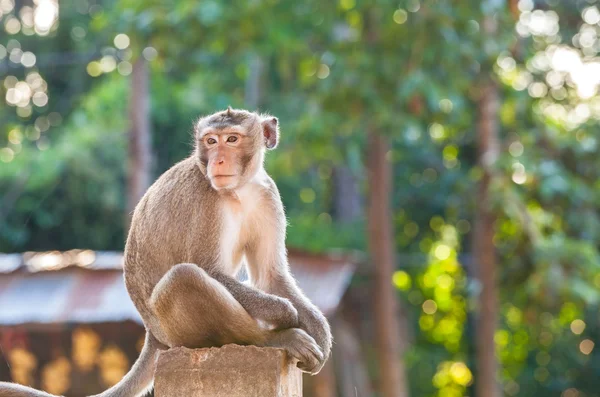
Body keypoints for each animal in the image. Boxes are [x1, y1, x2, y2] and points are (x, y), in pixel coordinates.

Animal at [0, 106, 332, 396]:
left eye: (232, 139)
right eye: (211, 141)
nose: (217, 162)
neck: (238, 189)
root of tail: (154, 334)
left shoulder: (267, 194)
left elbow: (270, 275)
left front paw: (318, 328)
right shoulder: (205, 198)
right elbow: (208, 270)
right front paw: (285, 313)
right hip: (175, 331)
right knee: (184, 277)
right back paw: (271, 339)